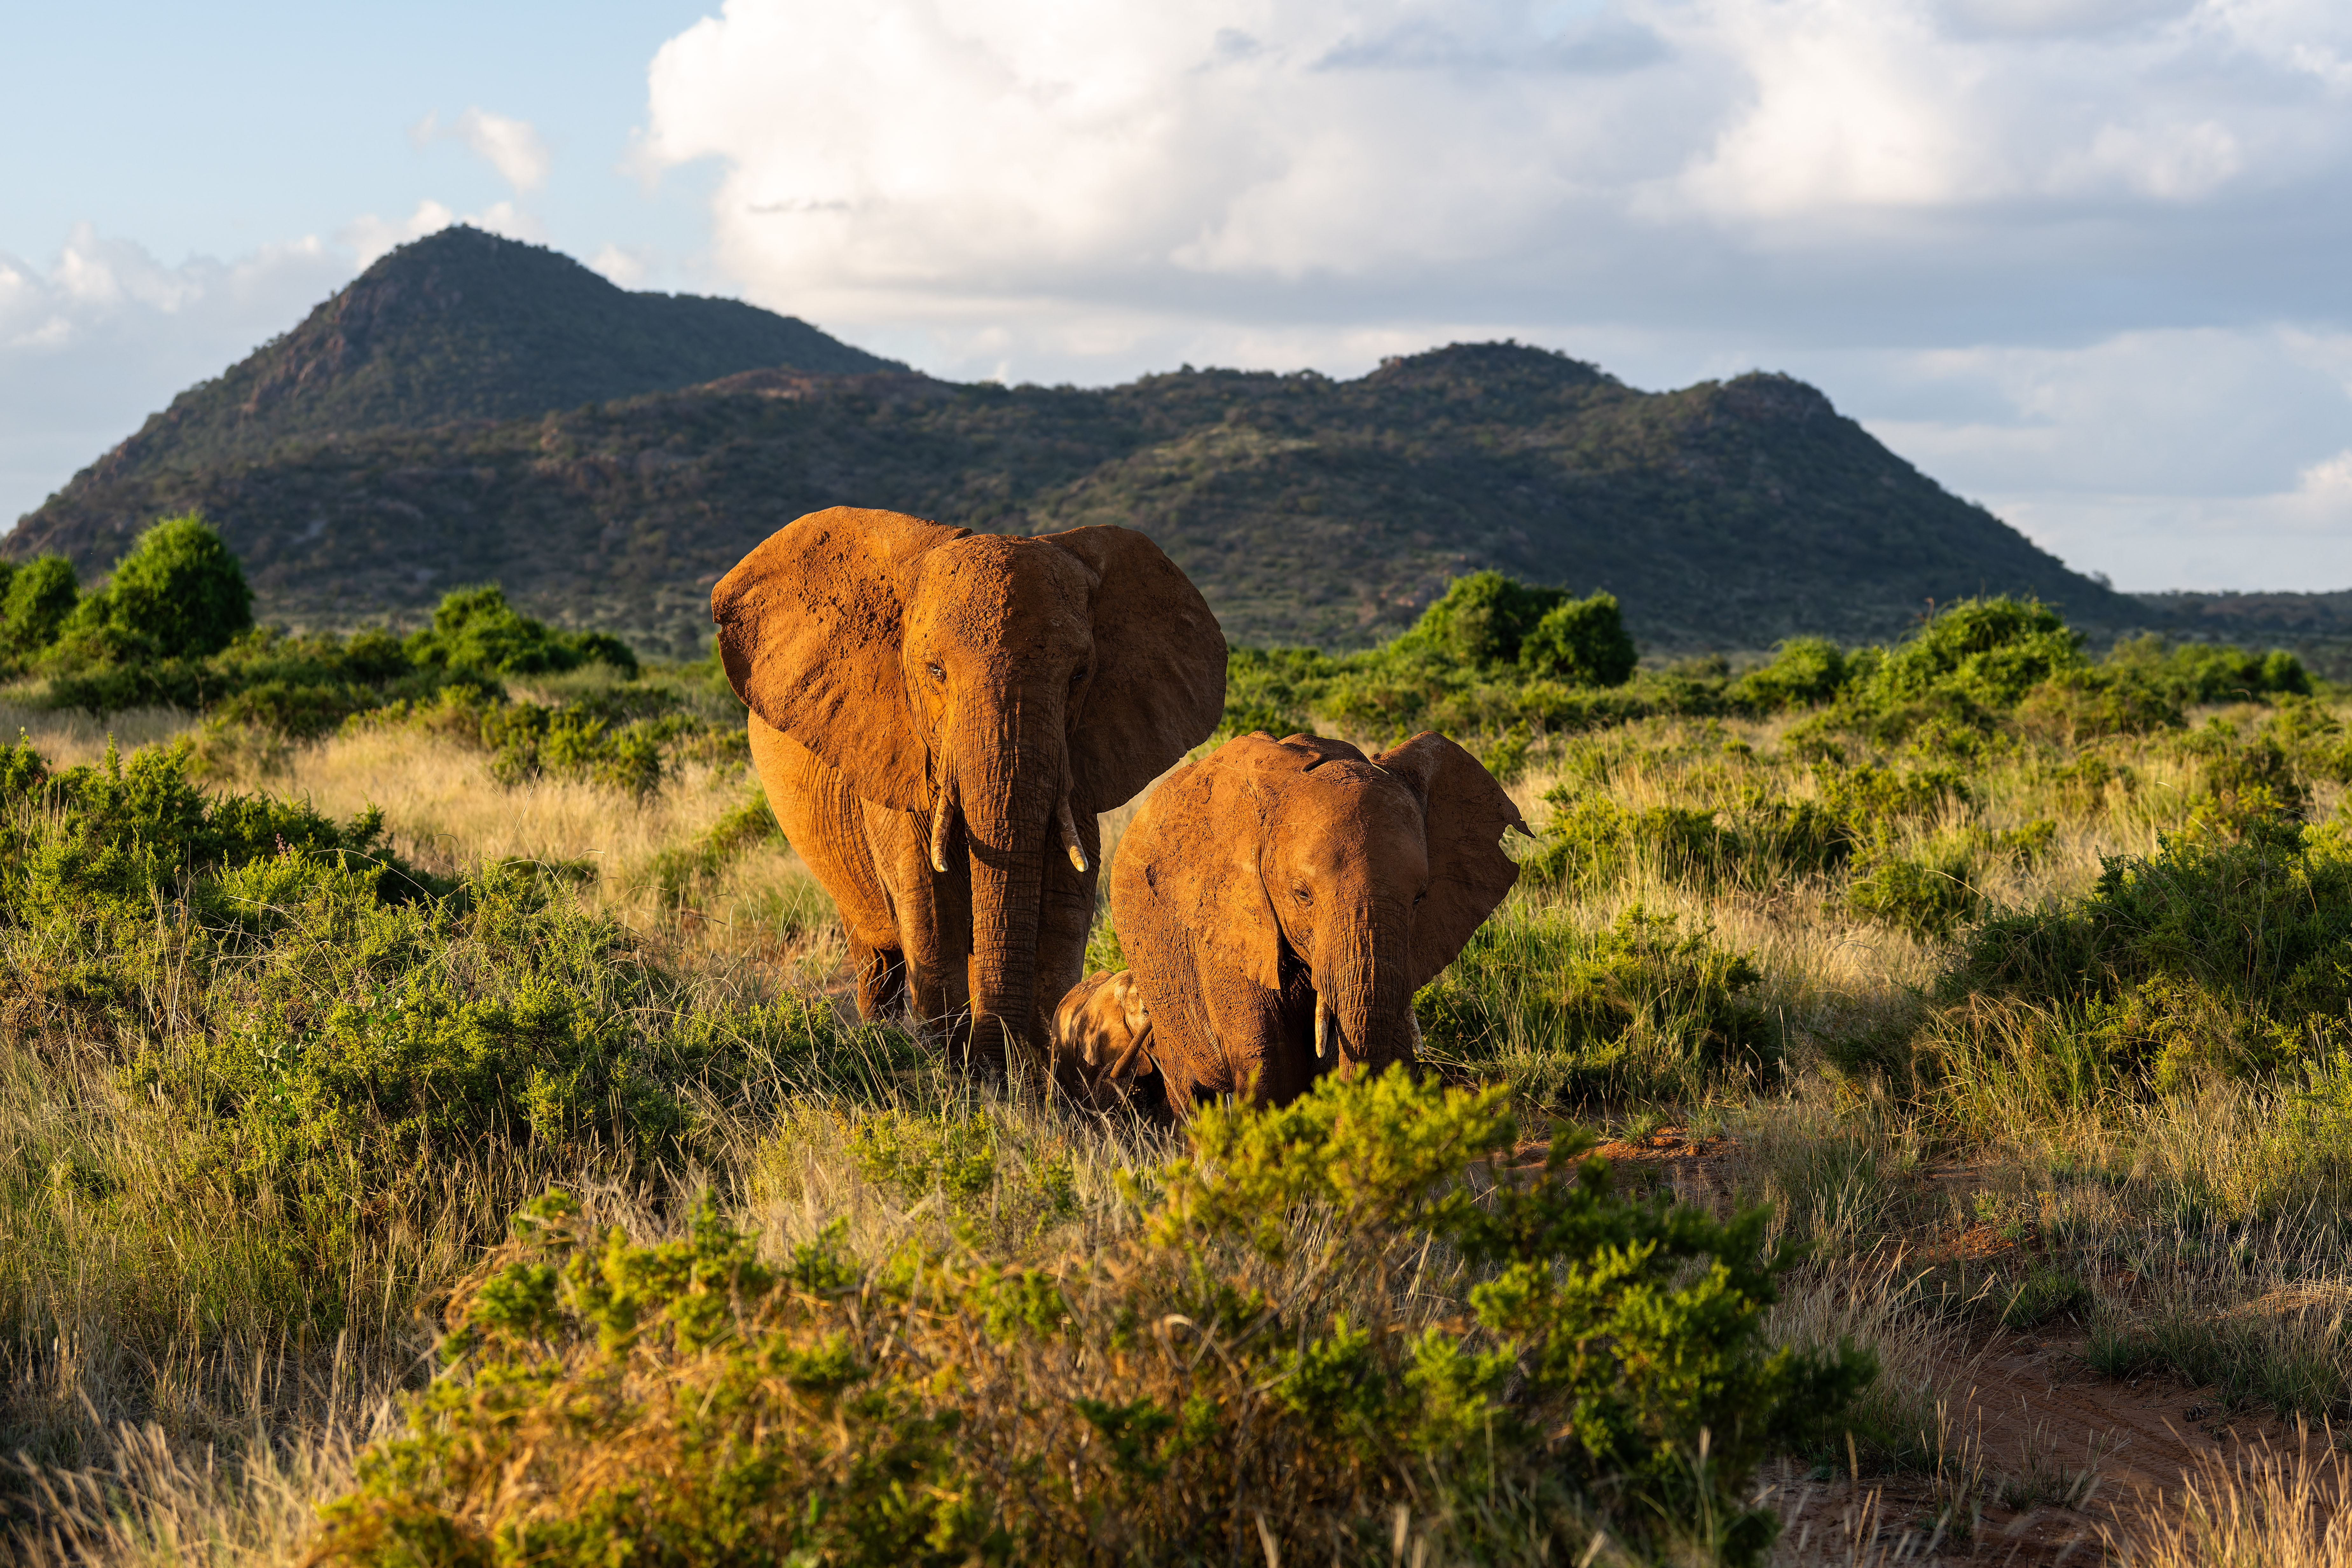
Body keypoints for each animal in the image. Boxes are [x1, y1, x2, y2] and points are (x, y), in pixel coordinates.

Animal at [711, 506, 1225, 1072]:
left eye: (1079, 675)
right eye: (934, 670)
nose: (993, 1064)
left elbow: (1064, 910)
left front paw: (1029, 1072)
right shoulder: (898, 762)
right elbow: (931, 913)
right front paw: (954, 1069)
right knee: (877, 960)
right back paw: (880, 1037)